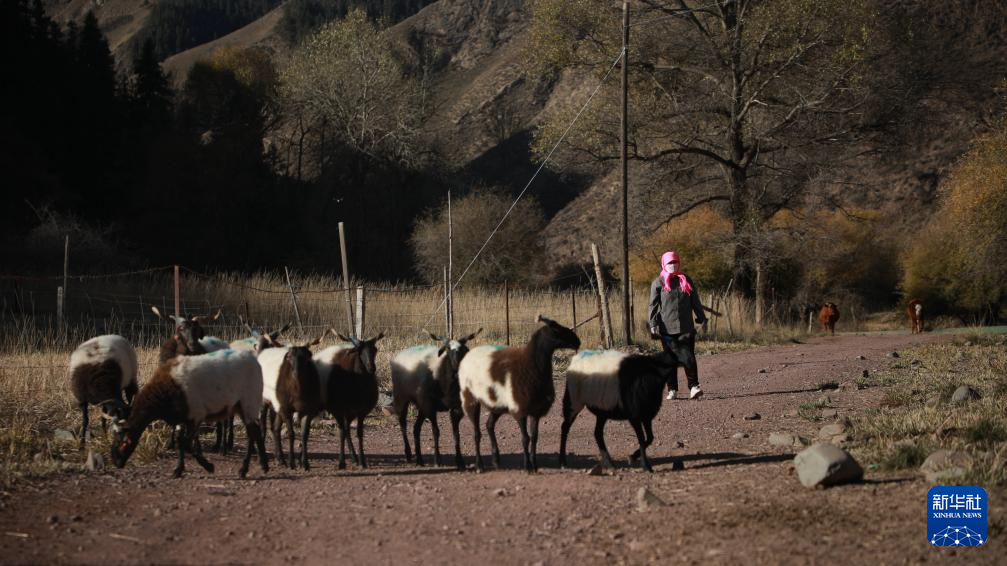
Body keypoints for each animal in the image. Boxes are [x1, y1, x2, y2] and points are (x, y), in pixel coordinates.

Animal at [257, 330, 328, 467]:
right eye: (289, 357)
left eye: (306, 357)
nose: (297, 373)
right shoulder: (286, 408)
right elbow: (291, 434)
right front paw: (292, 462)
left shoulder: (308, 410)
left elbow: (304, 434)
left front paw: (304, 462)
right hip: (264, 399)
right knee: (263, 425)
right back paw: (264, 458)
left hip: (276, 404)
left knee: (275, 428)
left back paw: (280, 458)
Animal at [318, 330, 384, 467]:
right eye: (359, 351)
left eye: (375, 349)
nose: (372, 368)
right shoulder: (339, 410)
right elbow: (341, 432)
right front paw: (341, 461)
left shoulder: (361, 412)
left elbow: (359, 433)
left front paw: (362, 460)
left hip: (350, 413)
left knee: (347, 429)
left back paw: (354, 458)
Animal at [390, 328, 481, 465]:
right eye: (448, 348)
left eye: (462, 348)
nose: (456, 365)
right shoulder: (430, 407)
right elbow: (436, 432)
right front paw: (437, 459)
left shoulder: (456, 408)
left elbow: (456, 434)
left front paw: (459, 461)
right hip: (402, 397)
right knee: (403, 424)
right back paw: (408, 454)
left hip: (421, 405)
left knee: (416, 429)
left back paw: (419, 459)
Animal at [459, 312, 580, 471]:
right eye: (556, 329)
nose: (577, 341)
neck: (532, 365)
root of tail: (469, 353)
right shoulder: (520, 409)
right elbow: (525, 438)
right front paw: (527, 465)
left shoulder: (536, 410)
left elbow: (534, 437)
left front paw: (534, 464)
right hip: (470, 397)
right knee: (476, 433)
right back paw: (480, 465)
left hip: (497, 404)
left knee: (489, 425)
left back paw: (496, 460)